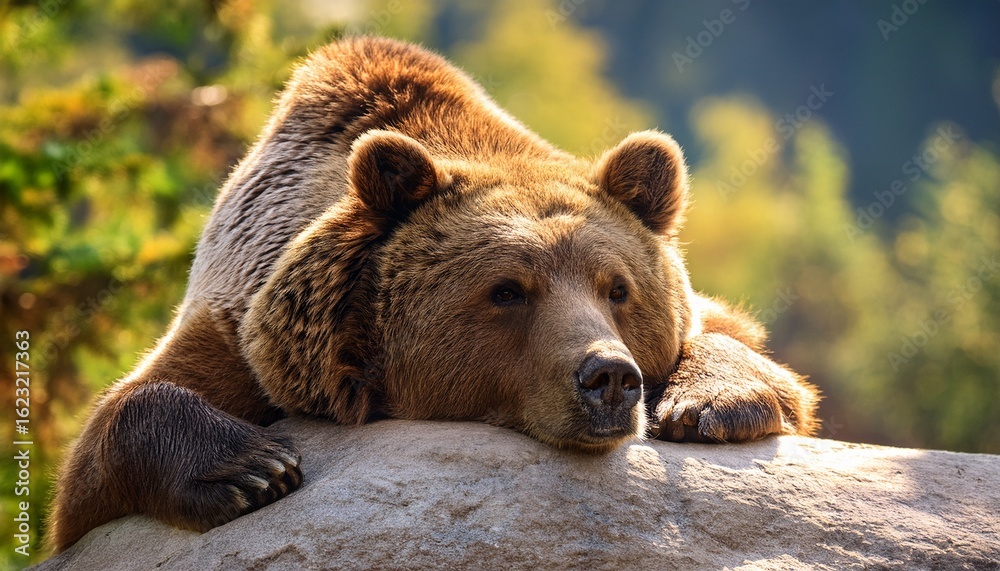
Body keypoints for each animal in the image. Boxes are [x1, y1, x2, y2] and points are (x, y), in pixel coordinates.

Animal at [48, 36, 819, 552]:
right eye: (508, 291)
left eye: (618, 289)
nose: (608, 377)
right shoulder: (243, 331)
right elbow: (104, 442)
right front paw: (252, 468)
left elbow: (740, 345)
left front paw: (715, 404)